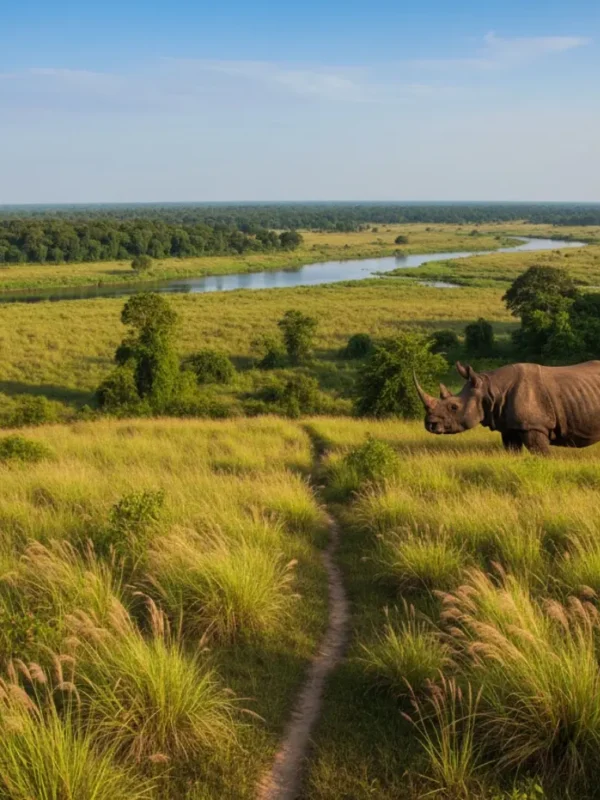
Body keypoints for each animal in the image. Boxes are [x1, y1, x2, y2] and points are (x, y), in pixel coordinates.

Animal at [413, 360, 600, 454]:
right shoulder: (509, 427)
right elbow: (513, 451)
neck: (490, 389)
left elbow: (541, 454)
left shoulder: (534, 426)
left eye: (453, 407)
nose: (429, 424)